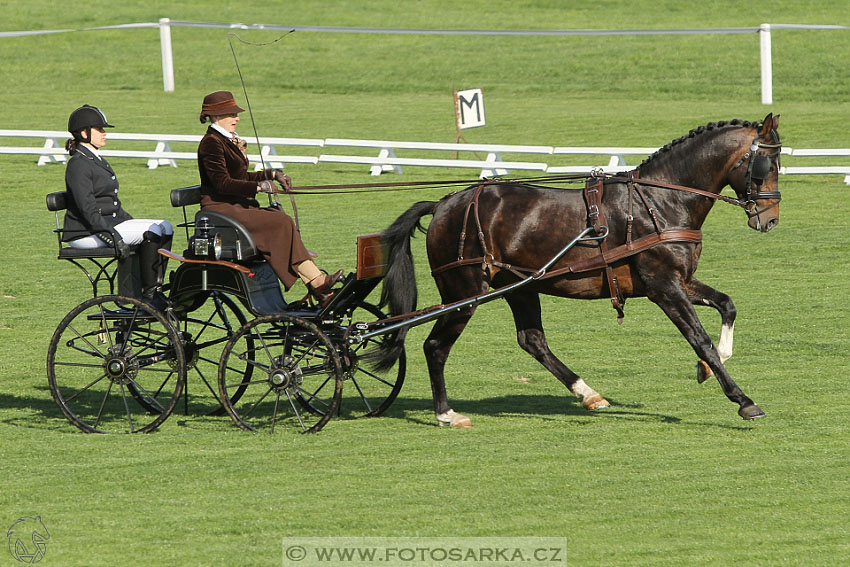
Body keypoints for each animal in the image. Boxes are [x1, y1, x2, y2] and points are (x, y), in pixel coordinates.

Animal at [374, 114, 780, 426]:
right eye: (766, 165)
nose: (770, 219)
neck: (661, 201)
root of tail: (445, 203)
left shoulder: (681, 281)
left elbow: (727, 306)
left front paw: (709, 367)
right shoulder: (664, 286)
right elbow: (700, 339)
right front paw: (743, 399)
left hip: (519, 286)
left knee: (532, 341)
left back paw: (588, 393)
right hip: (465, 292)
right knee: (435, 346)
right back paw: (446, 413)